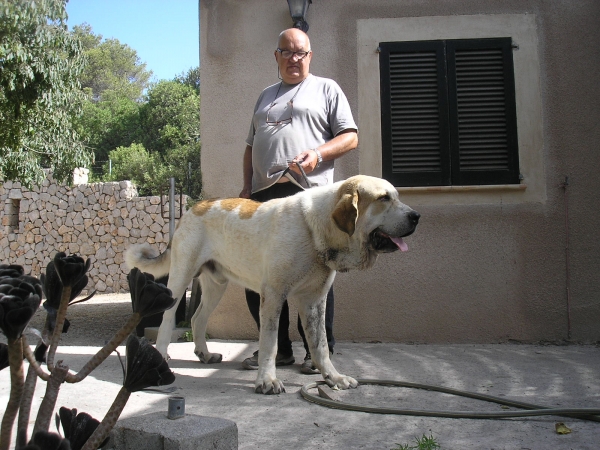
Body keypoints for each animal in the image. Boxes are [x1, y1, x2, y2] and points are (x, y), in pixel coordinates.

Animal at [124, 176, 420, 394]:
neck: (315, 230)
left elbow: (320, 345)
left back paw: (205, 355)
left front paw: (333, 378)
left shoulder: (314, 301)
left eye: (396, 196)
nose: (416, 216)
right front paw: (266, 380)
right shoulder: (274, 295)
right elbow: (270, 342)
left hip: (216, 286)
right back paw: (162, 359)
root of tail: (193, 207)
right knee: (167, 320)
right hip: (178, 281)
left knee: (198, 319)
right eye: (384, 198)